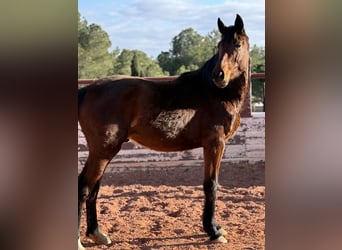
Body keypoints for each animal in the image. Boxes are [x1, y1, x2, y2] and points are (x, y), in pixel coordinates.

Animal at [79, 14, 250, 249]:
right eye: (219, 45)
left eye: (237, 44)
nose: (219, 76)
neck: (215, 93)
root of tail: (88, 89)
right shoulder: (215, 143)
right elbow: (211, 185)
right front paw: (213, 231)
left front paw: (215, 228)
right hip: (102, 151)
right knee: (85, 187)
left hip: (101, 152)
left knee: (93, 188)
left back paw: (97, 233)